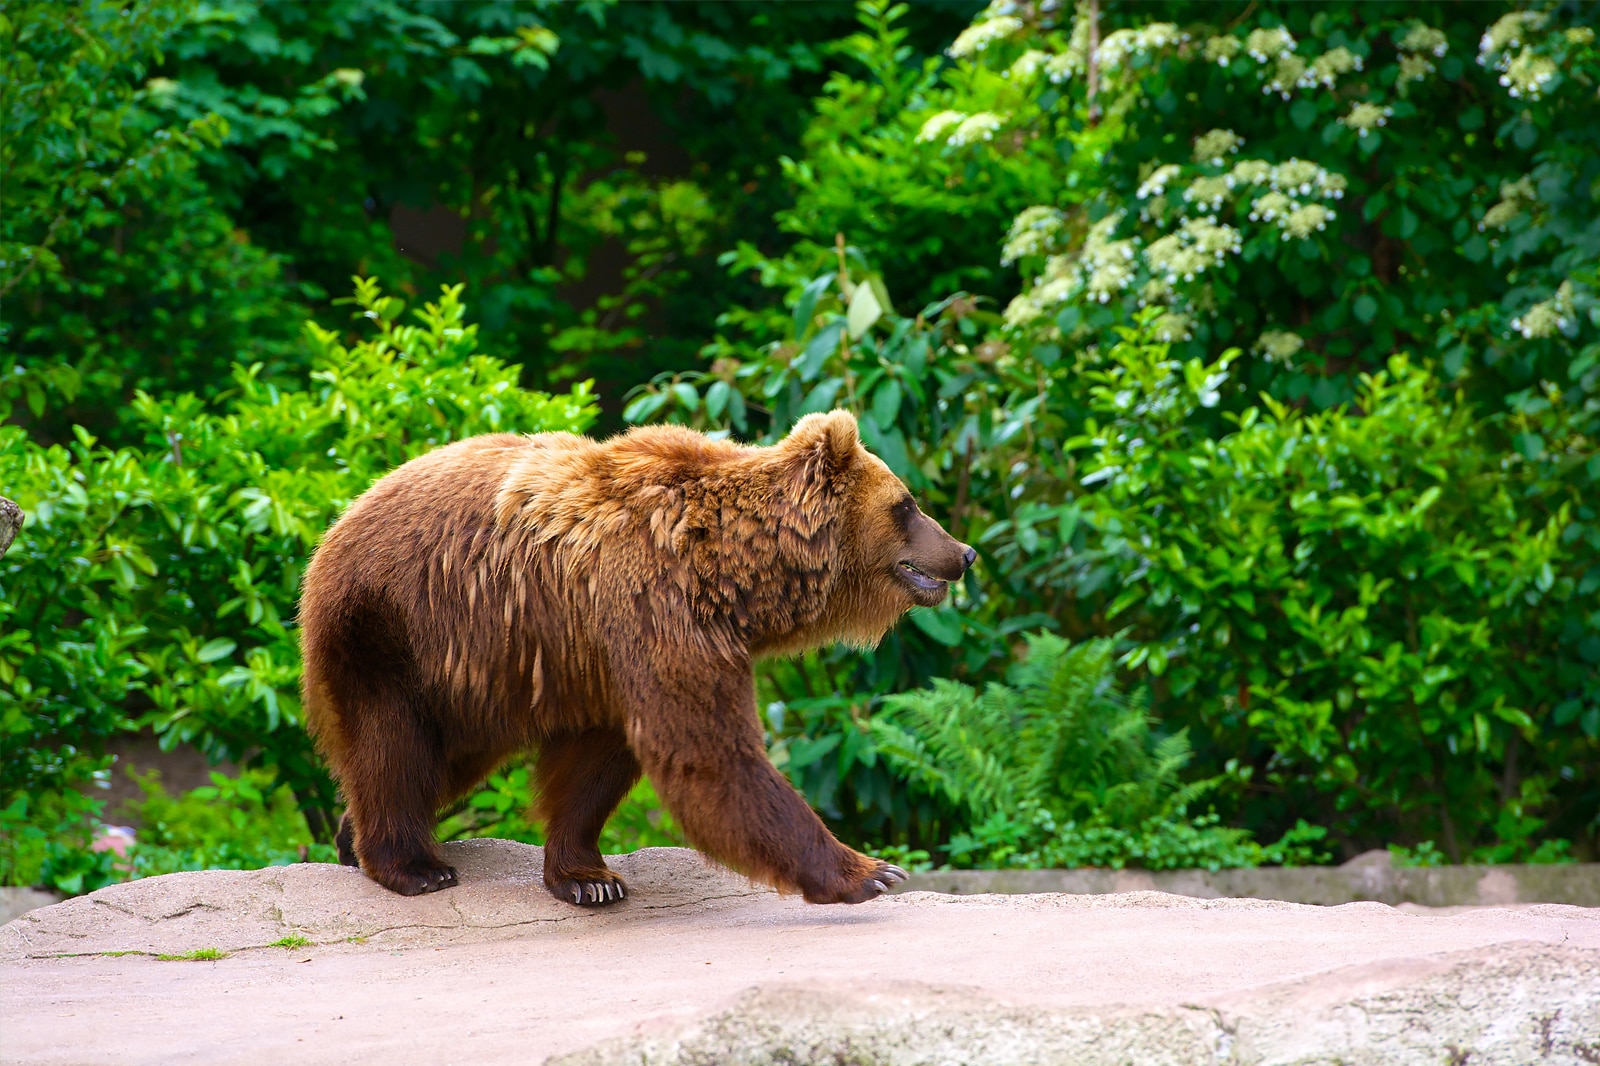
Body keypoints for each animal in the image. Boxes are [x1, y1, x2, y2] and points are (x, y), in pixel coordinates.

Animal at [300, 409, 972, 902]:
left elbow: (596, 765)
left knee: (441, 761)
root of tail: (336, 522)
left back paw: (349, 837)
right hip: (393, 628)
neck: (735, 574)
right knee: (394, 743)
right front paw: (871, 871)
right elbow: (712, 757)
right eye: (907, 504)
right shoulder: (656, 607)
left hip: (477, 677)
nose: (962, 552)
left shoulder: (604, 655)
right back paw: (413, 866)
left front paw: (588, 878)